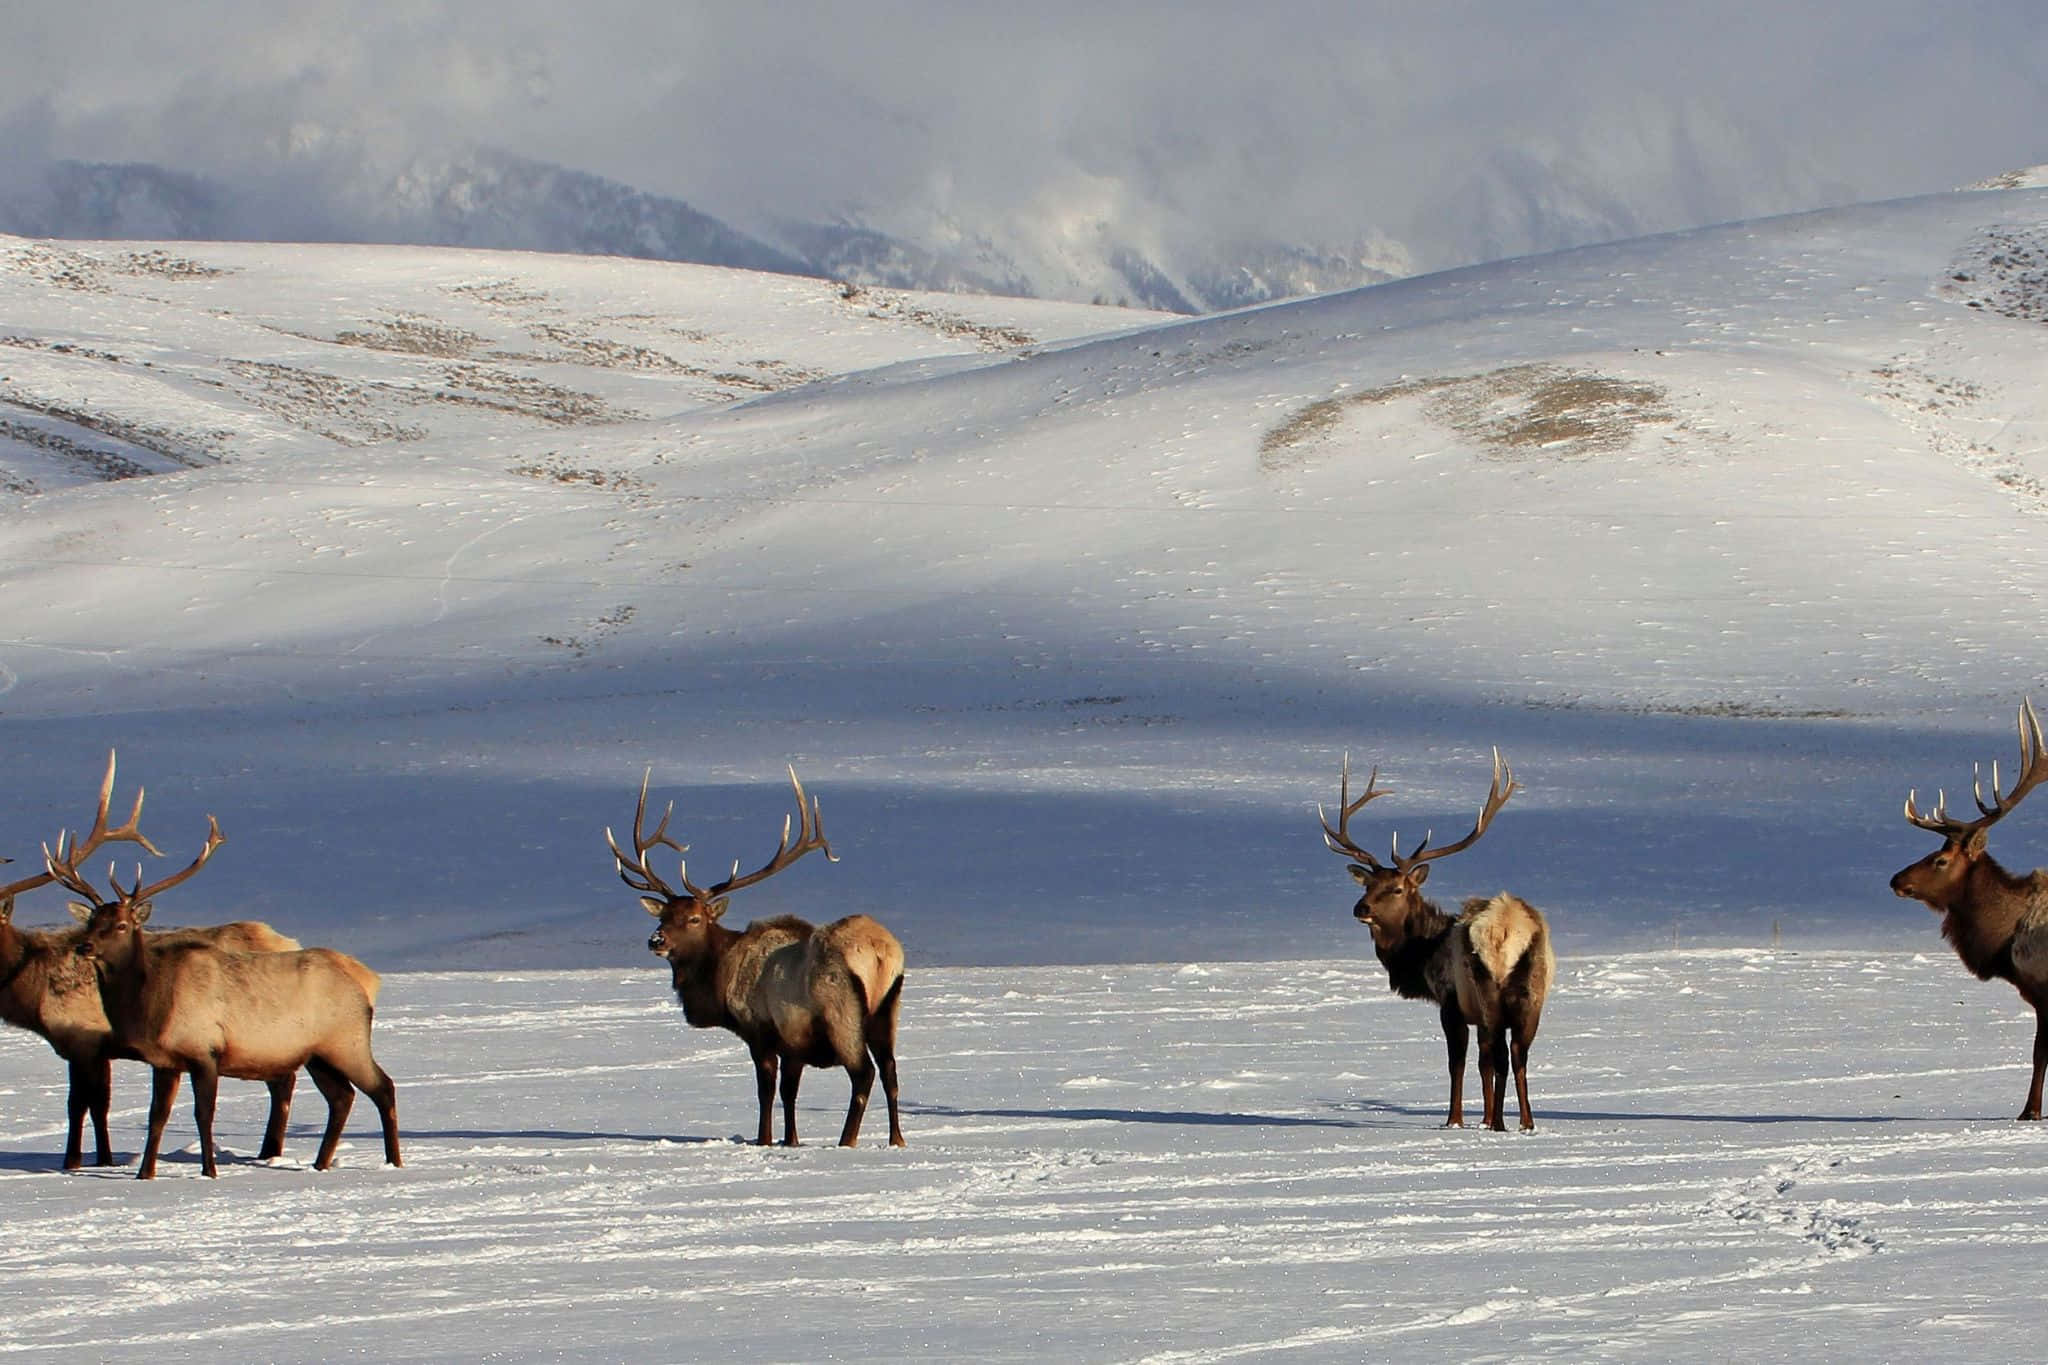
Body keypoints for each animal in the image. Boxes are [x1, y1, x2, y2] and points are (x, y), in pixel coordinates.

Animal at [0, 753, 302, 1170]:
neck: (33, 993)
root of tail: (290, 940)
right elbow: (100, 1106)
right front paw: (104, 1159)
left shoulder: (84, 1041)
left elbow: (80, 1105)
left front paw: (73, 1162)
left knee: (283, 1082)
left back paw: (268, 1153)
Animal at [60, 815, 401, 1179]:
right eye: (92, 921)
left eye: (122, 925)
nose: (84, 946)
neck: (152, 1008)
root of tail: (365, 986)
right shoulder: (165, 1061)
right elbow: (157, 1117)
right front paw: (144, 1174)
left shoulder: (205, 1050)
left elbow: (203, 1114)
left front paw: (209, 1171)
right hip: (316, 1054)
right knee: (341, 1097)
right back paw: (320, 1164)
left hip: (347, 1040)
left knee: (383, 1087)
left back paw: (393, 1161)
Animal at [609, 766, 905, 1148]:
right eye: (663, 917)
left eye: (695, 919)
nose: (655, 940)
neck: (720, 980)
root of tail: (881, 953)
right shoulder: (793, 1043)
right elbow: (790, 1094)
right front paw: (790, 1141)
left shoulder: (760, 1030)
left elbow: (766, 1091)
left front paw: (763, 1139)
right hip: (888, 1008)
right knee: (891, 1071)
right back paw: (896, 1140)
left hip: (842, 1011)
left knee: (864, 1073)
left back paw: (846, 1141)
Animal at [1320, 749, 1554, 1132]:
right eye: (1368, 884)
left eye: (1397, 888)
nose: (1360, 908)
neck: (1422, 953)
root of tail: (1507, 927)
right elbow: (1483, 1064)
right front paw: (1483, 1119)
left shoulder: (1451, 1001)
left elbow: (1459, 1062)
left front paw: (1455, 1120)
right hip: (1533, 991)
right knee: (1518, 1053)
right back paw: (1525, 1123)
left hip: (1485, 986)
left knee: (1500, 1055)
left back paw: (1500, 1123)